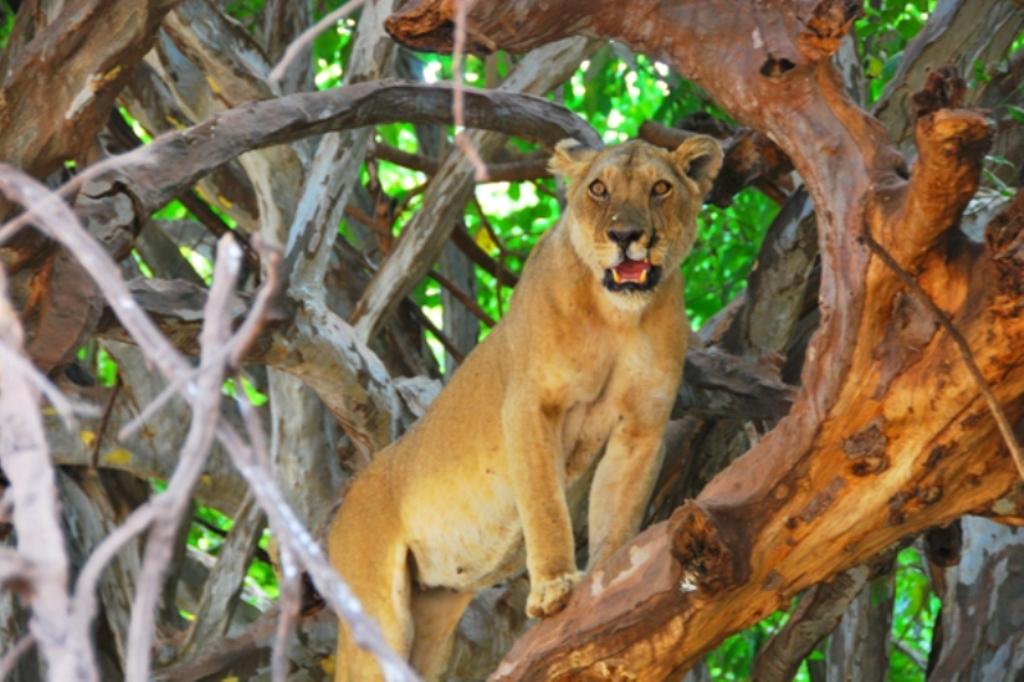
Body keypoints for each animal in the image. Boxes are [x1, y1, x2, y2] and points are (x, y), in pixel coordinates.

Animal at [328, 135, 723, 681]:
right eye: (598, 189)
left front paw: (611, 582)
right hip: (376, 616)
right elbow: (544, 504)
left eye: (660, 188)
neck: (617, 318)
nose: (626, 235)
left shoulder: (642, 428)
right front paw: (554, 588)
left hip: (432, 614)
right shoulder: (530, 407)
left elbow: (618, 512)